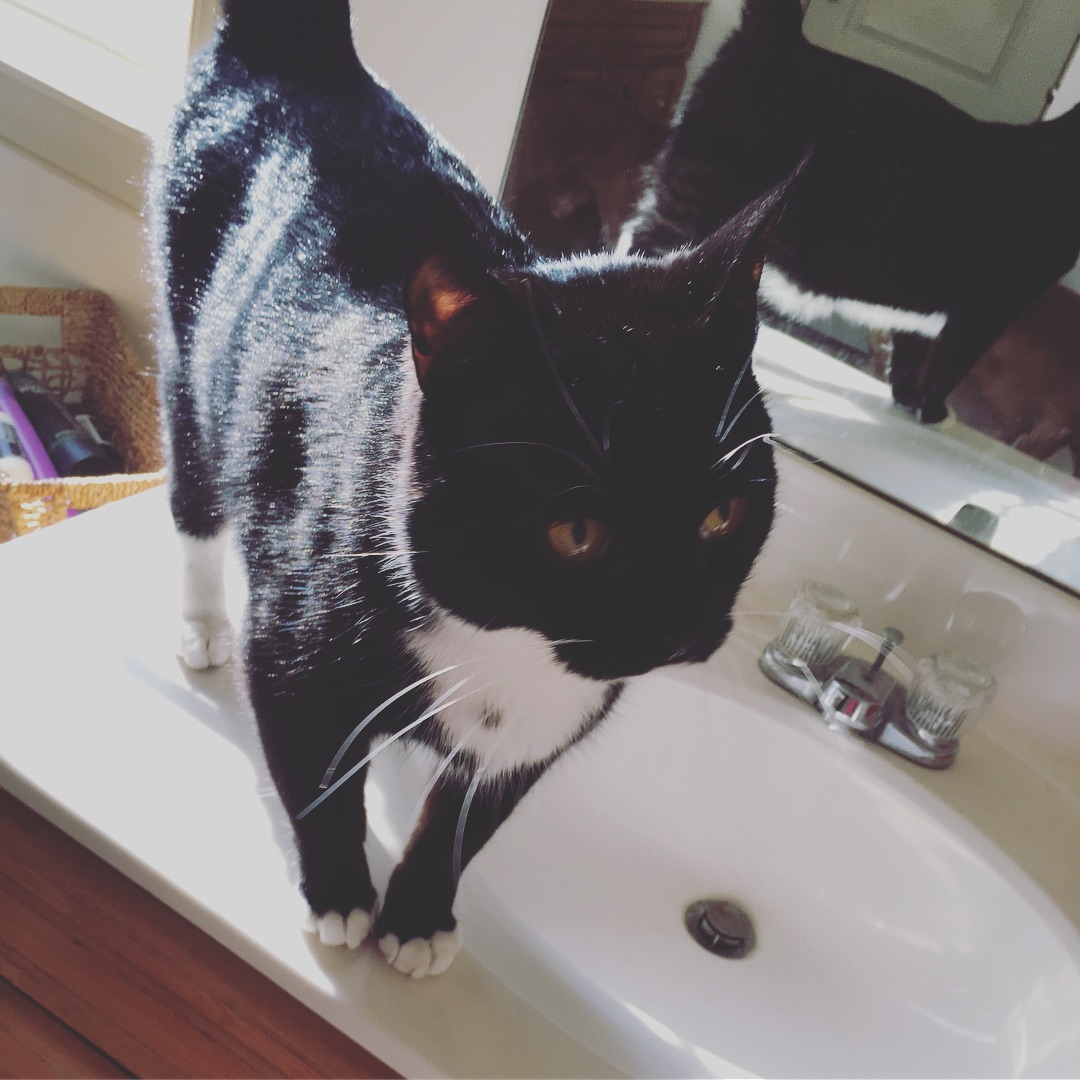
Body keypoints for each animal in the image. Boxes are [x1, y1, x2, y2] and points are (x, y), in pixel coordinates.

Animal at [149, 0, 786, 978]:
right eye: (576, 532)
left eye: (724, 513)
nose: (677, 622)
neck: (506, 644)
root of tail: (301, 52)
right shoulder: (296, 639)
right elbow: (313, 766)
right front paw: (340, 896)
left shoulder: (550, 723)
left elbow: (470, 819)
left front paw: (416, 917)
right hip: (188, 349)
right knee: (193, 488)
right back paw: (202, 622)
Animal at [622, 0, 1080, 424]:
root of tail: (782, 36)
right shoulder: (991, 302)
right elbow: (949, 365)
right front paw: (931, 409)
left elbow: (912, 348)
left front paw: (906, 399)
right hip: (702, 200)